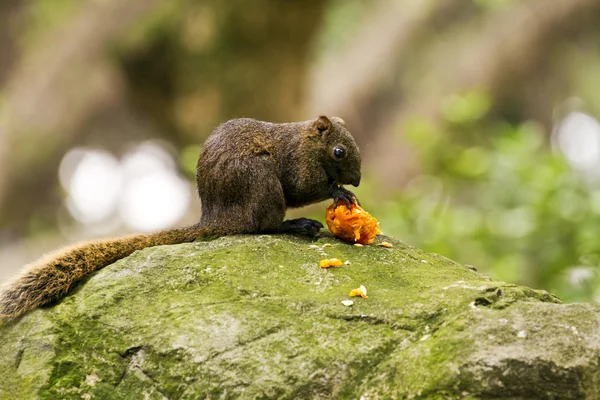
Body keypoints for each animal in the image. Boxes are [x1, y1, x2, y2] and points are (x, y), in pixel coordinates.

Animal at [0, 114, 360, 320]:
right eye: (339, 151)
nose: (357, 180)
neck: (306, 141)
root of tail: (215, 218)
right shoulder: (296, 163)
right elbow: (302, 189)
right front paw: (338, 191)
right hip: (261, 181)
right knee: (263, 226)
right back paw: (296, 225)